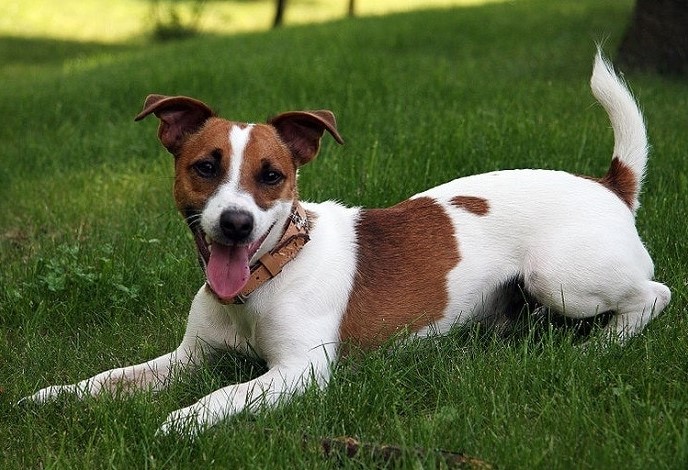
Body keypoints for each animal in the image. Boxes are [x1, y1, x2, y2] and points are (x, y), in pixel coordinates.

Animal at [24, 50, 668, 434]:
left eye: (272, 175)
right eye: (205, 167)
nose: (234, 224)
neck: (267, 275)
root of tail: (609, 186)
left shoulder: (298, 373)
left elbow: (220, 396)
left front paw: (179, 422)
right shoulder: (190, 358)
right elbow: (110, 379)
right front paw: (54, 395)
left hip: (558, 279)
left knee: (653, 294)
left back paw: (601, 345)